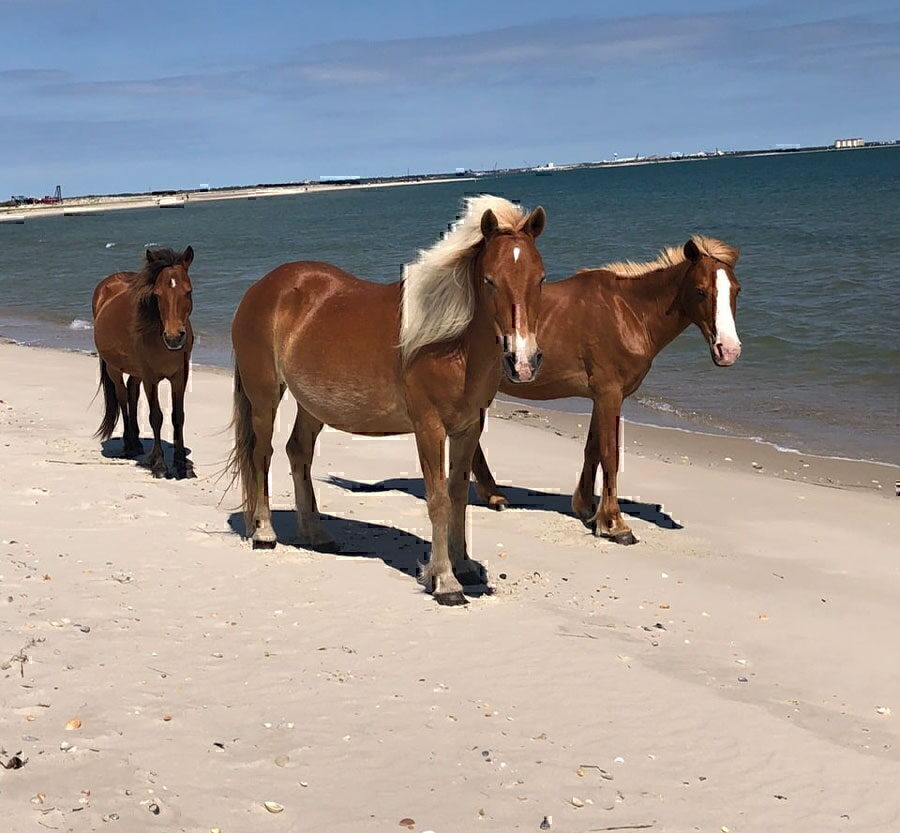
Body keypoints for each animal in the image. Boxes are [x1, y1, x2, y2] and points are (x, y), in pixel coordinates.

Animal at [92, 247, 196, 478]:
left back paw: (138, 443)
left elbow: (178, 416)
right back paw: (129, 444)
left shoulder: (180, 376)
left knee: (132, 393)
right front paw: (159, 465)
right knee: (123, 397)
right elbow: (156, 417)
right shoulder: (151, 378)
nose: (174, 338)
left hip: (135, 371)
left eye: (188, 291)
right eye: (157, 295)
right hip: (114, 368)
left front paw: (182, 465)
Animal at [229, 198, 544, 608]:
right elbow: (439, 499)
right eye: (490, 280)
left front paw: (463, 565)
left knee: (297, 452)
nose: (523, 362)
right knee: (261, 455)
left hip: (312, 405)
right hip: (265, 395)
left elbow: (459, 495)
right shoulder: (429, 427)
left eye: (540, 278)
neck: (451, 342)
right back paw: (264, 533)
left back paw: (317, 533)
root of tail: (261, 288)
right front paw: (445, 581)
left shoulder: (468, 427)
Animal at [474, 236, 740, 544]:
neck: (629, 313)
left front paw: (588, 508)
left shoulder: (601, 396)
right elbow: (610, 455)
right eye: (700, 290)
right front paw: (615, 524)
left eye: (736, 290)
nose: (728, 350)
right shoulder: (610, 394)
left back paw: (493, 495)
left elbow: (593, 449)